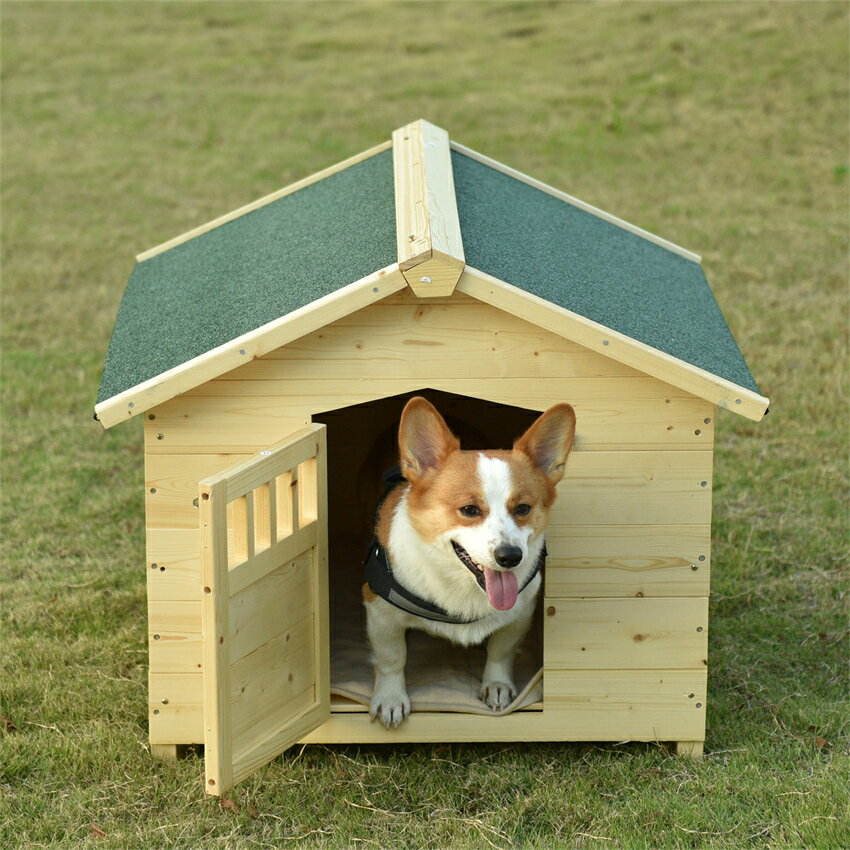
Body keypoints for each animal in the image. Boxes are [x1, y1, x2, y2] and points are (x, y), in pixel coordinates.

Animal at [362, 394, 572, 724]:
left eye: (523, 508)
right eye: (470, 510)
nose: (510, 557)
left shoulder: (520, 613)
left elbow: (501, 650)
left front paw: (497, 684)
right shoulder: (379, 611)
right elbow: (392, 657)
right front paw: (390, 699)